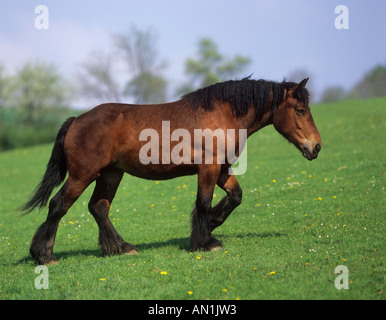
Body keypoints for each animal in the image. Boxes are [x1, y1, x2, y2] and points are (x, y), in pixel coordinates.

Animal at [22, 77, 322, 264]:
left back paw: (120, 248)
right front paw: (205, 240)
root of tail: (77, 120)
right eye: (300, 109)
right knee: (58, 205)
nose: (316, 146)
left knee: (99, 208)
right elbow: (203, 203)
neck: (221, 115)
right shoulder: (209, 167)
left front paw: (211, 225)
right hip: (83, 175)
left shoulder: (222, 169)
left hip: (110, 174)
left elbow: (235, 197)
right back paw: (45, 256)